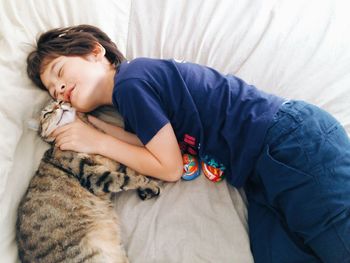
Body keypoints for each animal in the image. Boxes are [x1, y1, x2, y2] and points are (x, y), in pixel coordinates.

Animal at [15, 100, 160, 262]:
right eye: (47, 114)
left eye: (60, 101)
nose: (58, 106)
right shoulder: (95, 177)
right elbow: (126, 179)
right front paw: (150, 184)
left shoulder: (114, 161)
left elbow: (130, 169)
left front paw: (146, 190)